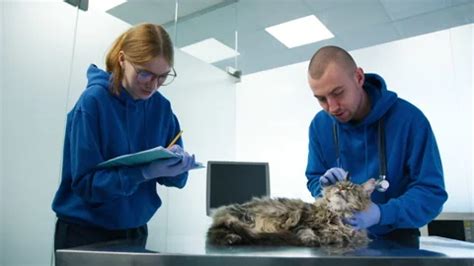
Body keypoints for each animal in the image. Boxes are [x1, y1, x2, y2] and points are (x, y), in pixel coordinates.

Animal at [206, 177, 376, 247]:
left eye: (350, 188)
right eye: (337, 185)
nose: (341, 189)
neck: (337, 215)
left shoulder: (354, 234)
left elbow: (345, 237)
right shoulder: (302, 223)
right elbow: (308, 232)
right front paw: (314, 239)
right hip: (242, 219)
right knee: (214, 232)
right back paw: (231, 238)